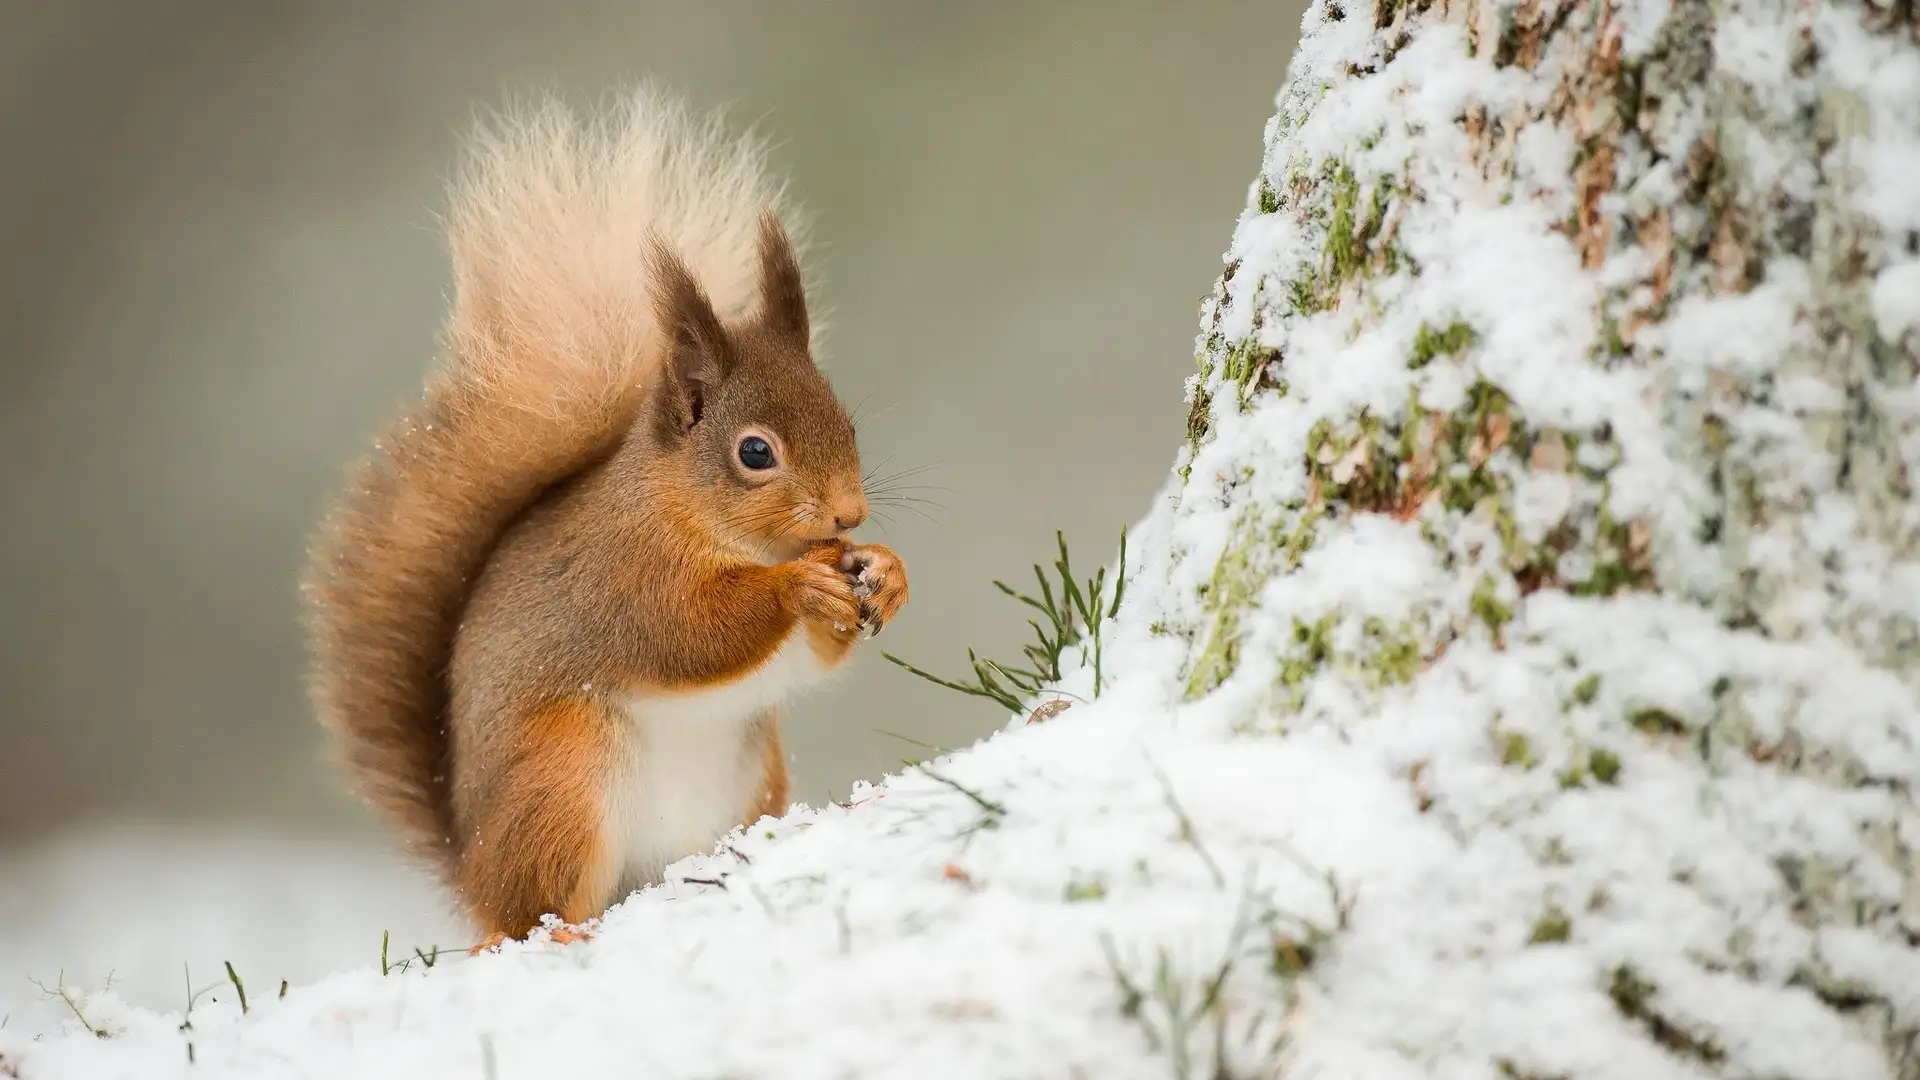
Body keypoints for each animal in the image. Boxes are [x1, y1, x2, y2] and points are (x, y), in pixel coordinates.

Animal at [299, 94, 906, 949]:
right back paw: (558, 932)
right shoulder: (622, 574)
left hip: (750, 777)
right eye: (755, 452)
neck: (698, 519)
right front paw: (798, 585)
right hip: (563, 782)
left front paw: (885, 571)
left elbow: (812, 655)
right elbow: (687, 632)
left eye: (845, 422)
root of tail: (473, 870)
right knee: (529, 913)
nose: (851, 512)